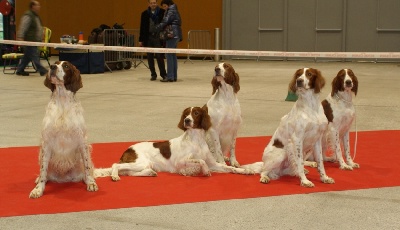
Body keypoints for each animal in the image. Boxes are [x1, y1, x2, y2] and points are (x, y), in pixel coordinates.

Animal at [29, 61, 98, 199]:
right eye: (54, 63)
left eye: (66, 66)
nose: (52, 67)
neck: (62, 100)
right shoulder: (46, 143)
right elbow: (43, 171)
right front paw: (38, 189)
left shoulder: (82, 141)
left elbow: (87, 167)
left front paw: (91, 183)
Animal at [94, 106, 253, 180]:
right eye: (186, 114)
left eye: (196, 113)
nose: (187, 121)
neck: (196, 140)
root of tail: (128, 149)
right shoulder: (180, 162)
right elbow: (201, 161)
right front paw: (205, 171)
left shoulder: (214, 163)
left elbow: (229, 168)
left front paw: (245, 170)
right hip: (139, 162)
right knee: (116, 165)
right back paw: (115, 176)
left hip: (144, 164)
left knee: (130, 173)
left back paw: (150, 173)